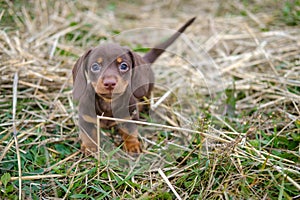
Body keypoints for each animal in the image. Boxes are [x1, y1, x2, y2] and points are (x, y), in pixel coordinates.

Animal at [72, 17, 196, 155]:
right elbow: (88, 134)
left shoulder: (128, 117)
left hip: (146, 93)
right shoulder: (86, 119)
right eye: (95, 66)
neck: (108, 103)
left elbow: (130, 131)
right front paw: (90, 146)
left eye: (124, 66)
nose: (109, 83)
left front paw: (132, 145)